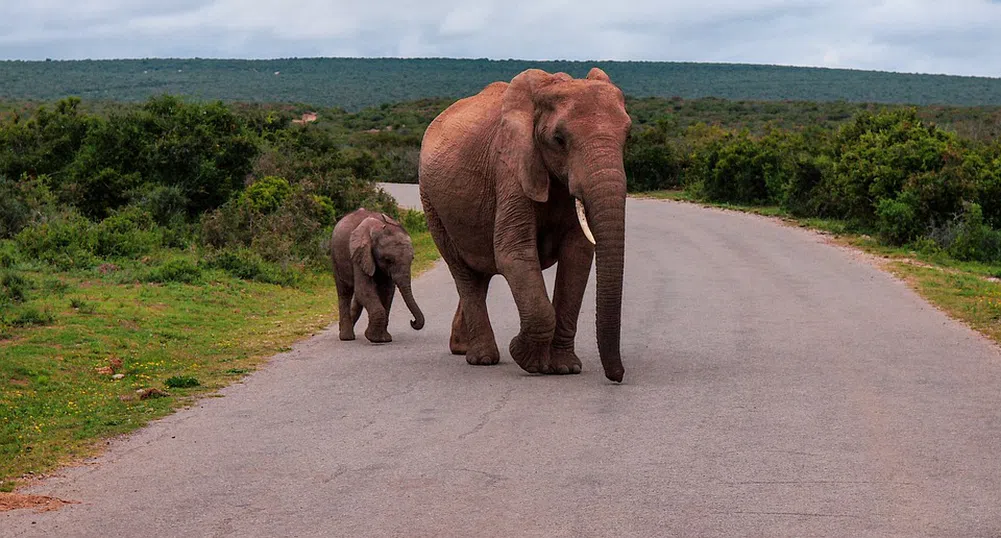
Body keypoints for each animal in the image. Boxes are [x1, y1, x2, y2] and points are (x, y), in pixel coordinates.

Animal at [334, 207, 424, 342]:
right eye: (388, 260)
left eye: (412, 258)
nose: (412, 321)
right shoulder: (360, 254)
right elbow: (364, 289)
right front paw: (374, 338)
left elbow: (387, 290)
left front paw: (384, 338)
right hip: (336, 257)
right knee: (344, 292)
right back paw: (346, 337)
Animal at [418, 66, 628, 382]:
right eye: (559, 139)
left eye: (627, 135)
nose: (618, 376)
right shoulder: (510, 170)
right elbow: (514, 253)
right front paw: (526, 358)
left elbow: (577, 257)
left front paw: (565, 368)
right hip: (431, 202)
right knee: (464, 272)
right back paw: (482, 358)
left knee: (480, 274)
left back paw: (461, 347)